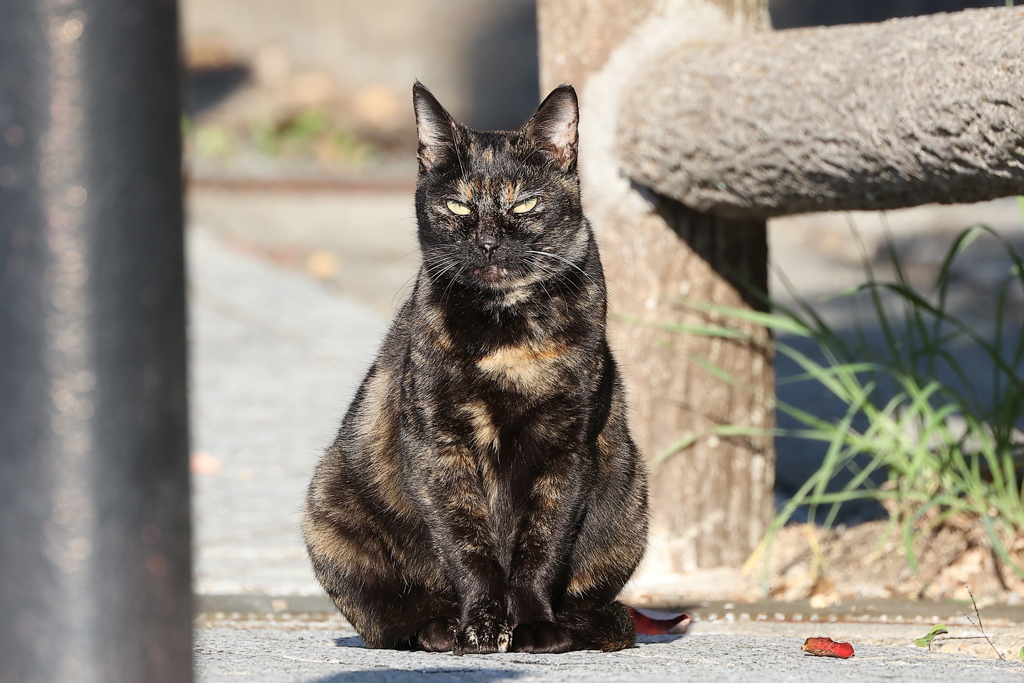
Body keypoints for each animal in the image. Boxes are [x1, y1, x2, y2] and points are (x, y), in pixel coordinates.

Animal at [299, 82, 647, 655]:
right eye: (457, 204)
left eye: (525, 202)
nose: (486, 241)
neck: (506, 336)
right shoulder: (440, 444)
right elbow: (468, 547)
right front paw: (483, 624)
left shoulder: (566, 448)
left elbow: (540, 546)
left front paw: (533, 624)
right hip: (327, 506)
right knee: (389, 618)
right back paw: (441, 628)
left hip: (630, 501)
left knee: (600, 607)